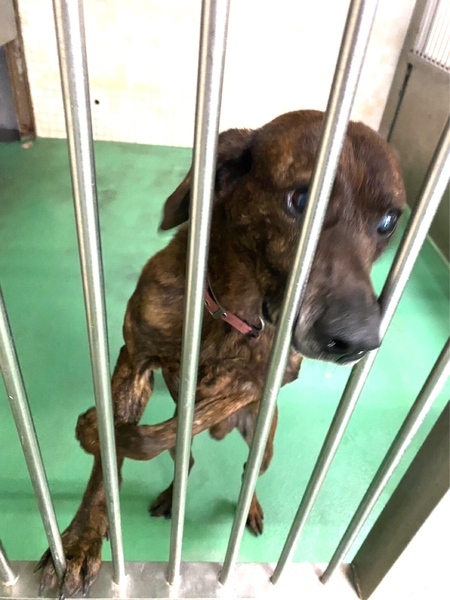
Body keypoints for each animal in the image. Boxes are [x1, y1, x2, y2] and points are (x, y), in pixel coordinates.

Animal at [37, 110, 406, 596]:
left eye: (388, 222)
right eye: (301, 200)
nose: (359, 342)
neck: (232, 306)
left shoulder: (263, 380)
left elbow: (182, 419)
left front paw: (97, 432)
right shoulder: (133, 359)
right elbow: (110, 465)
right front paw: (80, 541)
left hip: (264, 441)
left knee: (247, 469)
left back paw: (248, 505)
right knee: (188, 456)